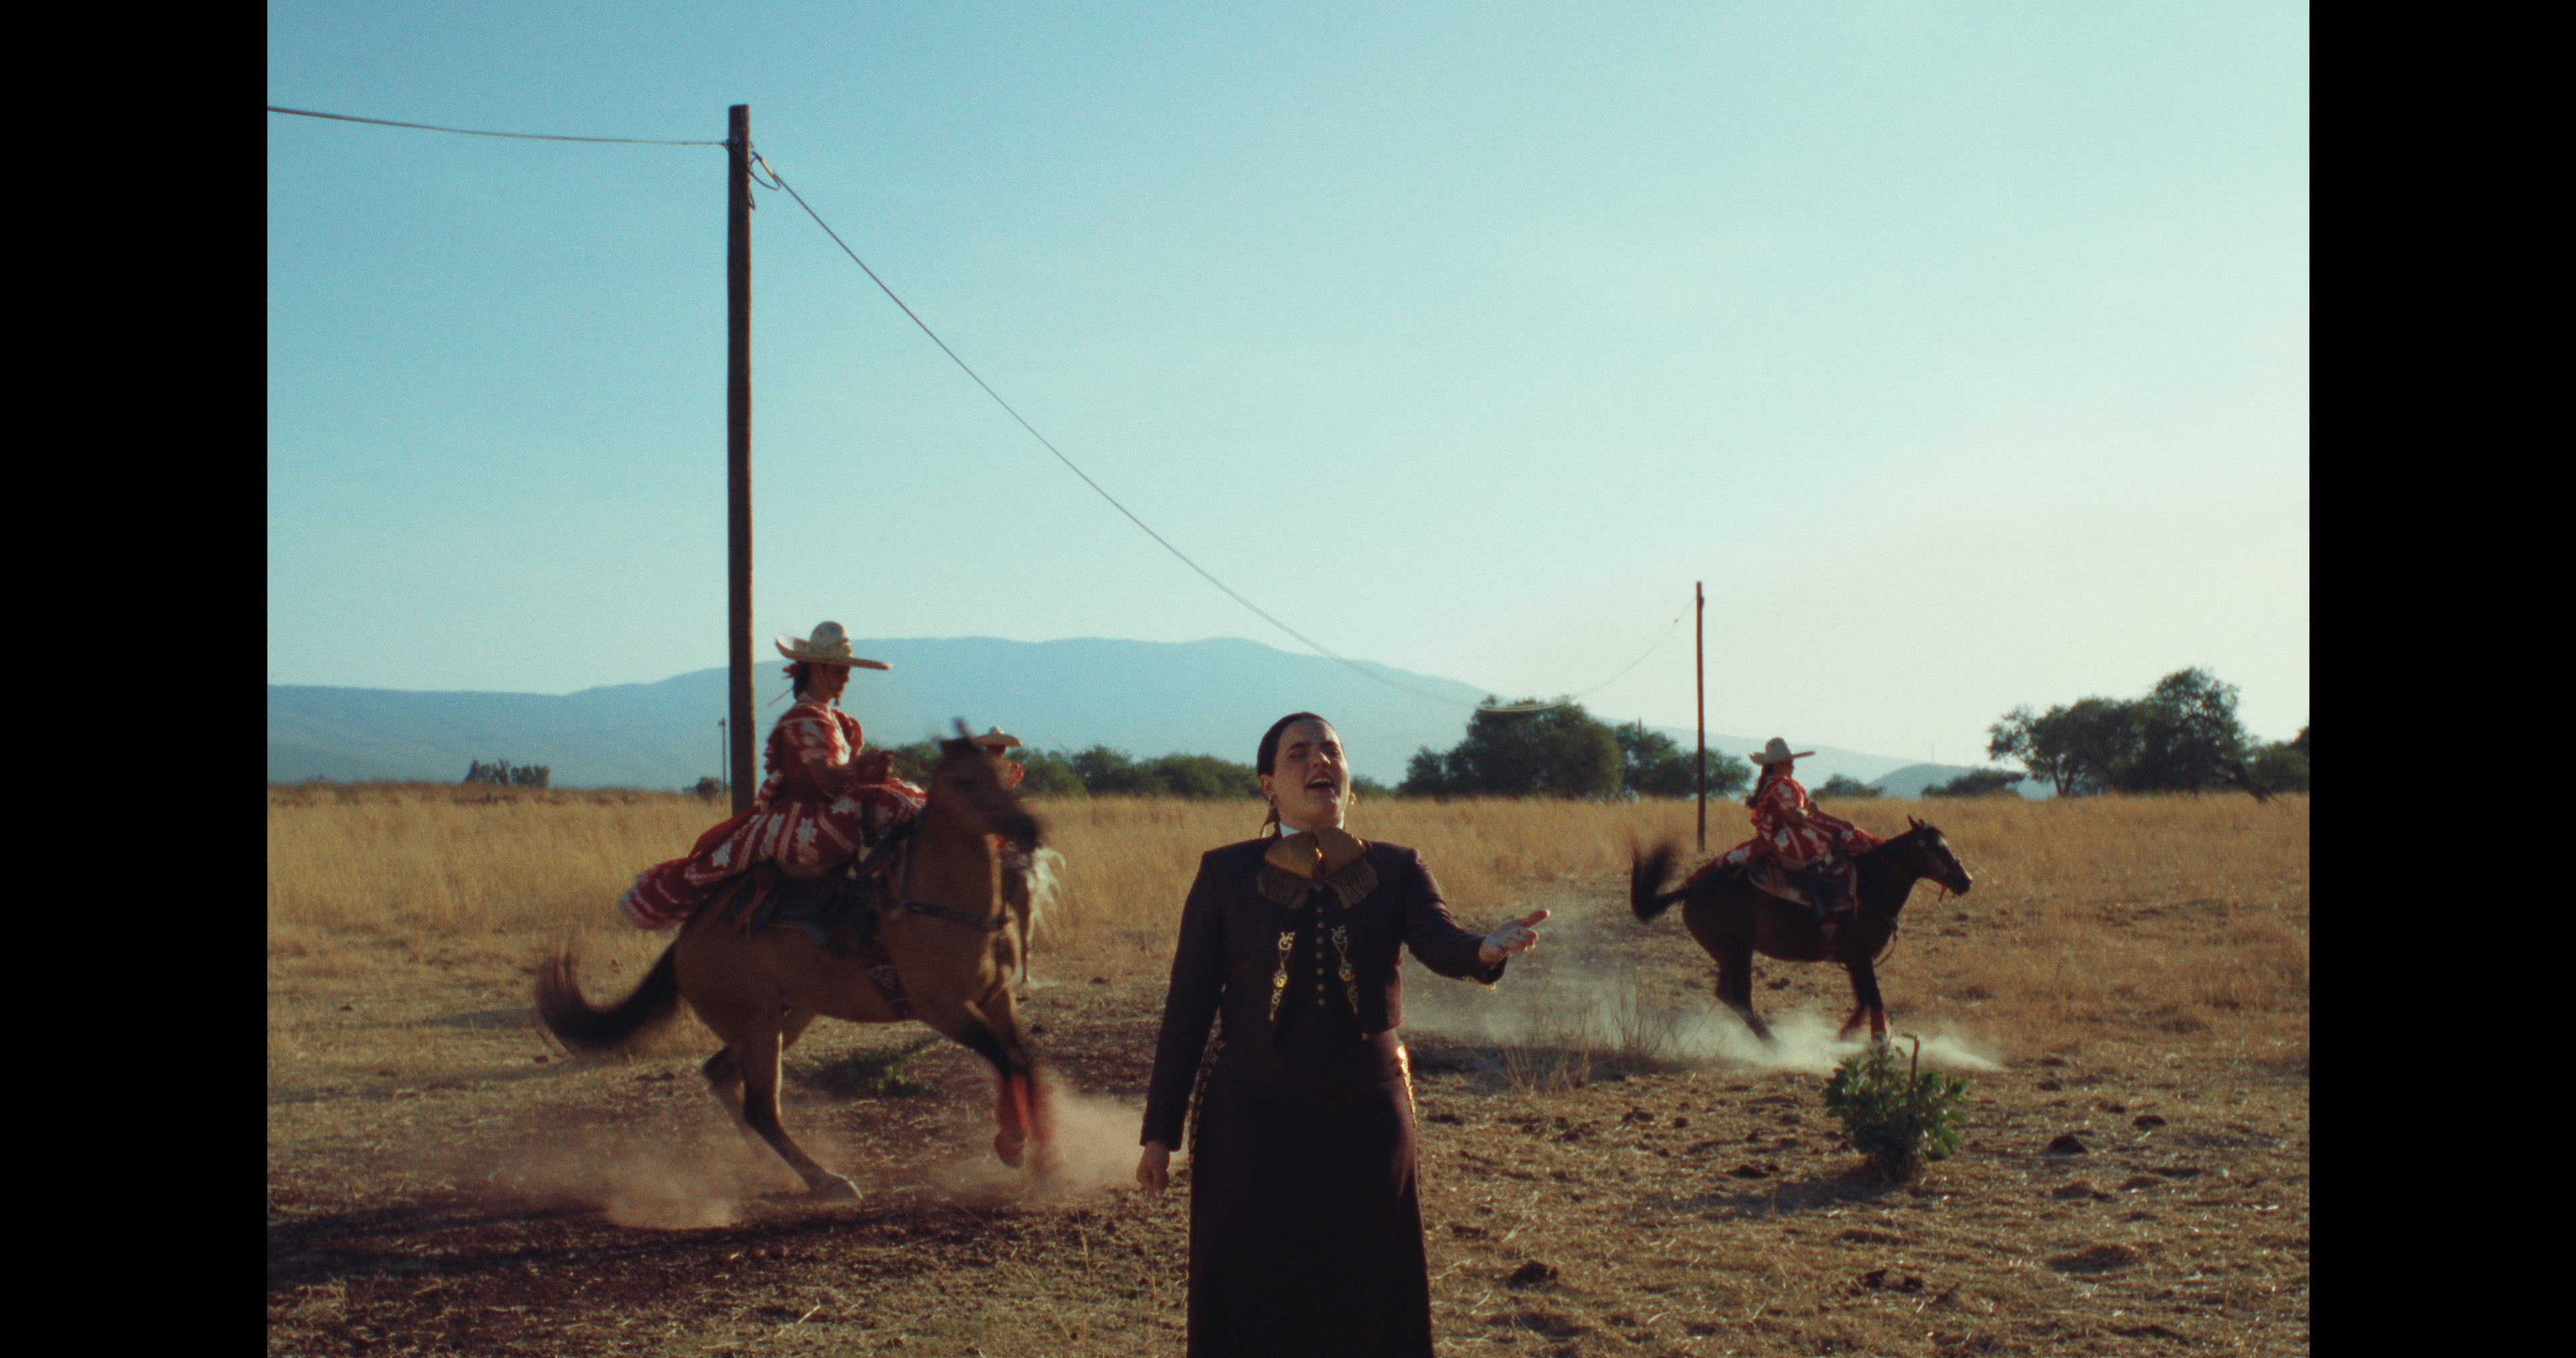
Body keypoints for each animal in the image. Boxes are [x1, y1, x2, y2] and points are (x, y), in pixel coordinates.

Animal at [536, 729, 1049, 1200]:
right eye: (964, 781)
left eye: (1006, 774)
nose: (1028, 828)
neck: (937, 901)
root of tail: (686, 941)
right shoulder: (942, 1007)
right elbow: (1006, 1060)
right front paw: (1012, 1145)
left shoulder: (996, 997)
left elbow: (1025, 1061)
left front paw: (1044, 1155)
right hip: (758, 1026)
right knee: (760, 1108)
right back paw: (825, 1180)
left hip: (784, 1017)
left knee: (722, 1076)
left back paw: (773, 1168)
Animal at [1629, 817, 1974, 1044]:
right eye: (1935, 848)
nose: (1966, 880)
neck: (1868, 886)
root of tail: (1691, 889)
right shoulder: (1861, 957)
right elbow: (1873, 998)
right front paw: (1878, 1041)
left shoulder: (1854, 961)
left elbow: (1864, 999)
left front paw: (1844, 1036)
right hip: (1736, 952)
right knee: (1738, 996)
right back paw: (1773, 1043)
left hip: (1729, 955)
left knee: (1729, 995)